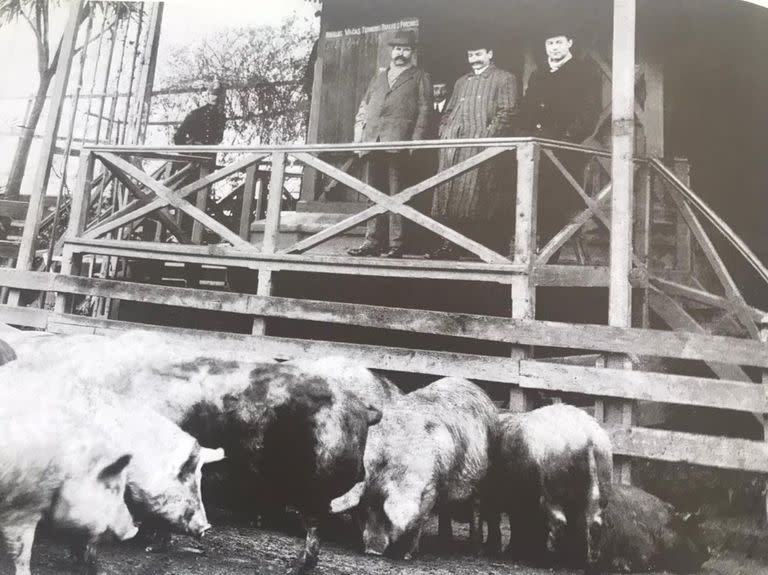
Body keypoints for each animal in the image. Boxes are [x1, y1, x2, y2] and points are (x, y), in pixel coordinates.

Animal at [332, 378, 498, 564]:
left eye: (385, 514)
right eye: (362, 510)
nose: (372, 551)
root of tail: (472, 385)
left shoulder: (430, 489)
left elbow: (419, 520)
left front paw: (407, 555)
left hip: (484, 477)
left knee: (476, 507)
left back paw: (477, 550)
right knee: (446, 510)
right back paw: (444, 541)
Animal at [486, 408, 612, 572]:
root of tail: (588, 437)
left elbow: (504, 521)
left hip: (553, 494)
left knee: (559, 523)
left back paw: (549, 559)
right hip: (599, 493)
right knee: (593, 524)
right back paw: (585, 563)